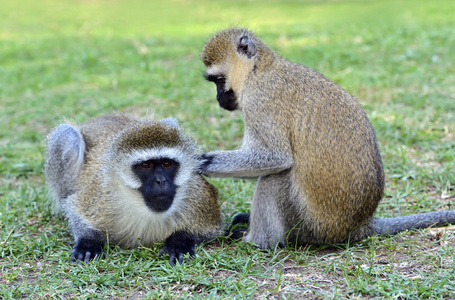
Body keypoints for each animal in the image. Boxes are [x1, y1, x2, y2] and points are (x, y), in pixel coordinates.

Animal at [45, 113, 222, 264]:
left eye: (167, 163)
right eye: (146, 165)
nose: (161, 181)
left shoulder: (198, 196)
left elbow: (211, 230)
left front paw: (179, 243)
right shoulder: (101, 195)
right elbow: (74, 209)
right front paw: (88, 243)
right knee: (68, 134)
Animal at [200, 27, 455, 248]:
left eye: (219, 80)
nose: (218, 99)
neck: (259, 68)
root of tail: (358, 226)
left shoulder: (259, 101)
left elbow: (276, 158)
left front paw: (205, 162)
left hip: (311, 226)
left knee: (276, 177)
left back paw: (256, 241)